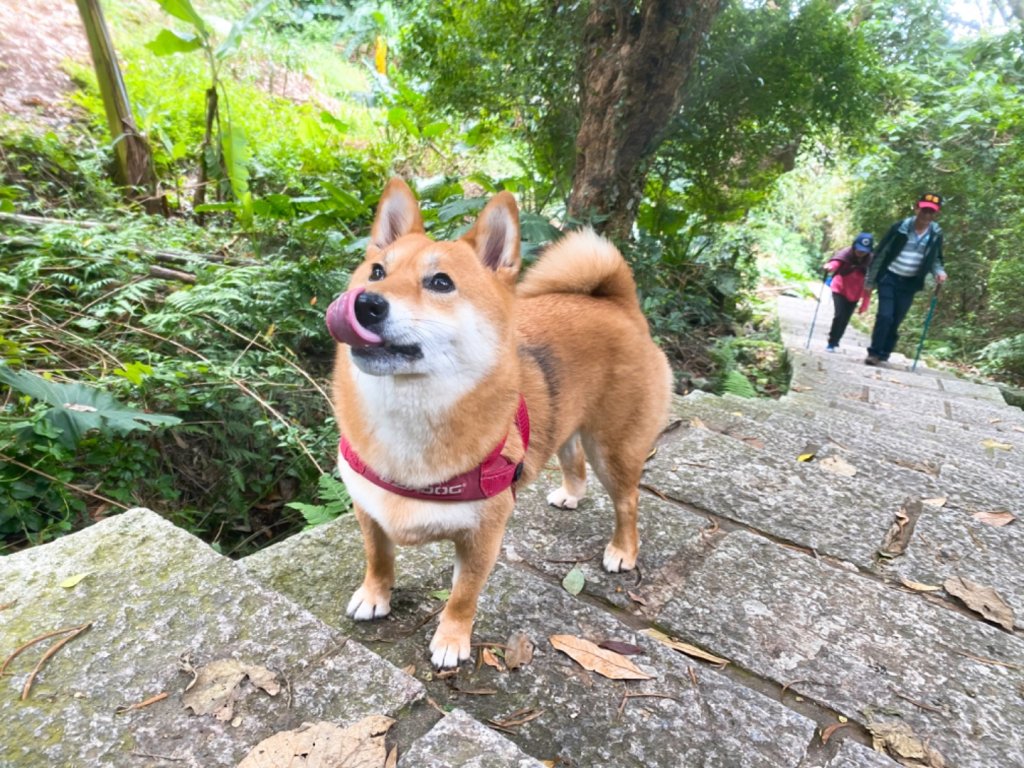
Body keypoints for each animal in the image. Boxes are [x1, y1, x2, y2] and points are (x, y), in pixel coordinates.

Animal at [325, 179, 671, 667]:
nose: (366, 303)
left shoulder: (483, 536)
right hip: (565, 422)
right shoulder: (368, 509)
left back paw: (623, 550)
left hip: (614, 450)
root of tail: (620, 305)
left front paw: (451, 639)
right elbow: (378, 559)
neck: (408, 416)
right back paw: (570, 494)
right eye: (376, 272)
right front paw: (376, 596)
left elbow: (462, 596)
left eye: (441, 282)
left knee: (628, 502)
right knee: (573, 459)